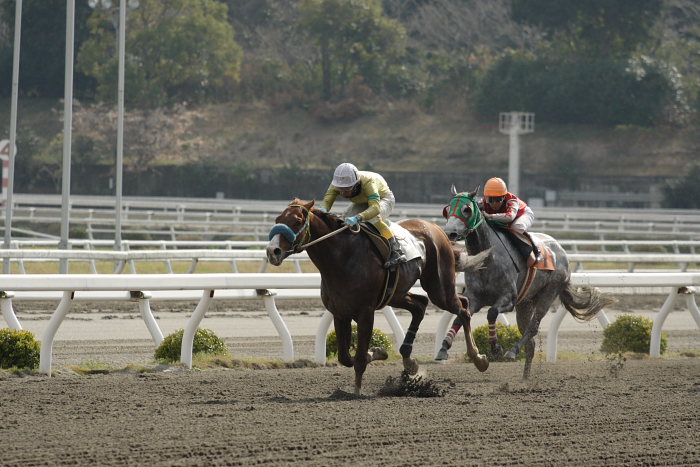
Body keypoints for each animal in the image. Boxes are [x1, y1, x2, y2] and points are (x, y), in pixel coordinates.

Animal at [266, 198, 490, 394]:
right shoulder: (340, 312)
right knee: (421, 304)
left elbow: (358, 359)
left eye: (297, 221)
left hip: (439, 289)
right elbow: (345, 357)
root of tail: (436, 229)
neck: (342, 258)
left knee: (463, 307)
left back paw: (479, 358)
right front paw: (378, 352)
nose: (272, 251)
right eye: (278, 219)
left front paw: (356, 391)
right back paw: (409, 361)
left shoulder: (366, 312)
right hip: (396, 293)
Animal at [442, 185, 612, 378]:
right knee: (530, 342)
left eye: (467, 209)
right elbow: (460, 316)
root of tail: (561, 251)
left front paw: (496, 347)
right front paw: (445, 347)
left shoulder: (508, 299)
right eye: (448, 209)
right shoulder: (475, 297)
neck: (487, 257)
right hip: (525, 304)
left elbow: (492, 313)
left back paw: (512, 351)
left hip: (548, 294)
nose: (449, 233)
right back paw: (525, 377)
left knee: (533, 328)